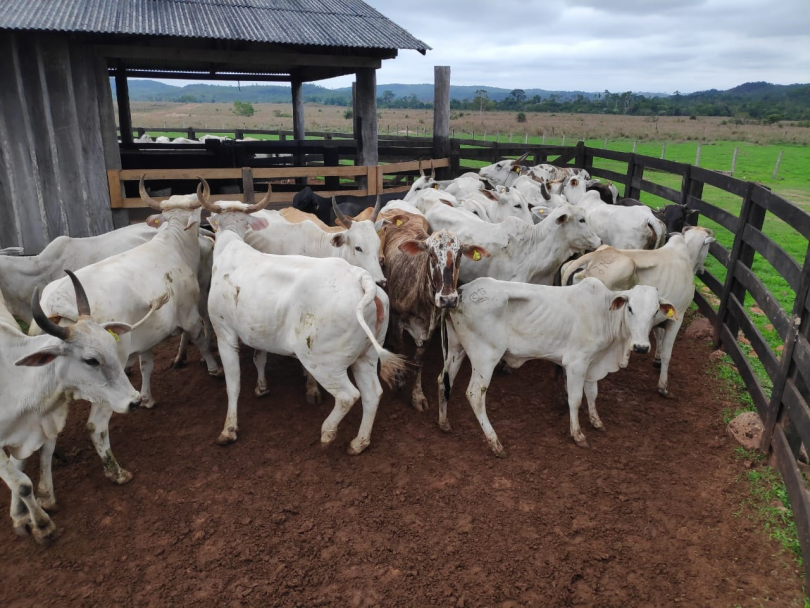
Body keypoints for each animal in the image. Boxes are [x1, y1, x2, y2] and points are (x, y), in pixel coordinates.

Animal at [436, 278, 676, 454]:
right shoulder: (576, 362)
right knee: (475, 394)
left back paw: (444, 423)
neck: (604, 313)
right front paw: (578, 434)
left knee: (443, 381)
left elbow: (592, 393)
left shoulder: (591, 364)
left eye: (655, 311)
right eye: (631, 308)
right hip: (485, 356)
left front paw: (596, 421)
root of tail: (461, 293)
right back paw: (495, 443)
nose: (642, 347)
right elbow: (576, 399)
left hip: (457, 349)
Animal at [560, 226, 712, 396]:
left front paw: (656, 360)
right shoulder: (677, 318)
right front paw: (663, 385)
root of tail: (588, 258)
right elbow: (667, 353)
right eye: (708, 247)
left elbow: (658, 335)